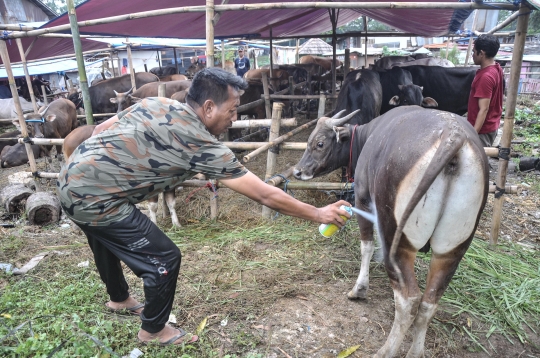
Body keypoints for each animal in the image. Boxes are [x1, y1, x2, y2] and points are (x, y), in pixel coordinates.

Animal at [294, 106, 492, 358]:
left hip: (399, 240)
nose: (298, 171)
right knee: (428, 303)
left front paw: (359, 289)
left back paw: (385, 350)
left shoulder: (363, 200)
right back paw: (415, 352)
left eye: (319, 143)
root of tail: (453, 135)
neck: (368, 137)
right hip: (452, 250)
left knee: (408, 300)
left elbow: (367, 246)